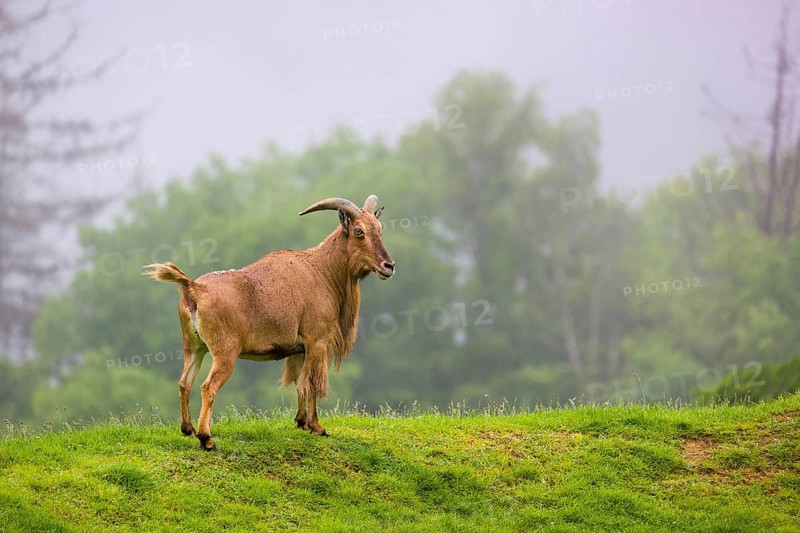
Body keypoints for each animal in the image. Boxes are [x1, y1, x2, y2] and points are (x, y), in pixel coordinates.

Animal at [143, 195, 395, 449]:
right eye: (359, 231)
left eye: (379, 228)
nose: (389, 266)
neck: (323, 272)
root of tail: (195, 289)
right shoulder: (317, 342)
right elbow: (311, 384)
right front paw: (317, 427)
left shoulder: (299, 349)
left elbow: (300, 383)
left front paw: (301, 422)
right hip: (225, 353)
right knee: (207, 387)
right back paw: (206, 438)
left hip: (194, 347)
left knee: (185, 382)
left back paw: (188, 429)